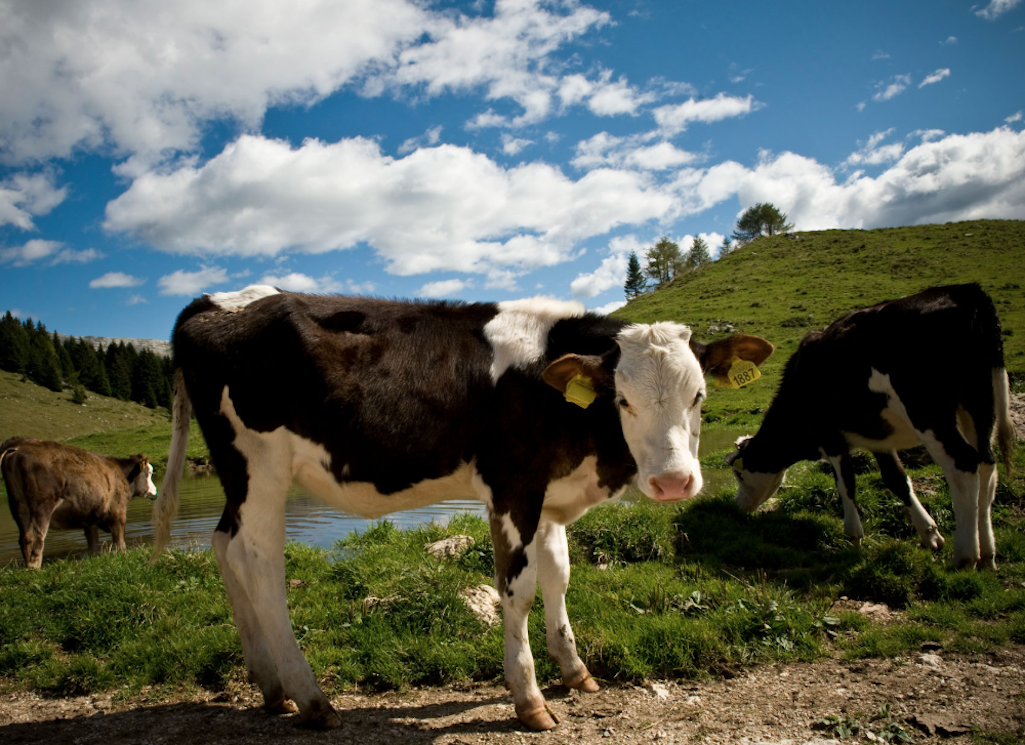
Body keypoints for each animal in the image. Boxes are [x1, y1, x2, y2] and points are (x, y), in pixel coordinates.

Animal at [1, 436, 156, 569]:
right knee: (36, 536)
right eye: (149, 473)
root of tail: (20, 444)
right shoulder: (118, 512)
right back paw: (35, 567)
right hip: (41, 505)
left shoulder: (90, 520)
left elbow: (94, 546)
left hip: (19, 506)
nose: (154, 491)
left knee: (25, 537)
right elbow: (120, 543)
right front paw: (122, 555)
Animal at [146, 284, 770, 729]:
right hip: (261, 466)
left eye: (699, 395)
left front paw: (575, 671)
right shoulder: (512, 486)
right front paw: (530, 699)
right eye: (622, 400)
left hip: (238, 477)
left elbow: (560, 576)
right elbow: (518, 591)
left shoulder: (548, 496)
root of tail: (213, 301)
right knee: (260, 564)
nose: (674, 482)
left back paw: (270, 687)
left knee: (224, 546)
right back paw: (311, 699)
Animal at [729, 284, 1016, 569]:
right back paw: (988, 554)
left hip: (928, 412)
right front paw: (929, 533)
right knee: (986, 466)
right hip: (979, 403)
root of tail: (964, 291)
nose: (737, 506)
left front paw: (853, 537)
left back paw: (966, 556)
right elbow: (896, 479)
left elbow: (846, 483)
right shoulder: (879, 437)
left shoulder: (831, 436)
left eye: (739, 474)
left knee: (963, 464)